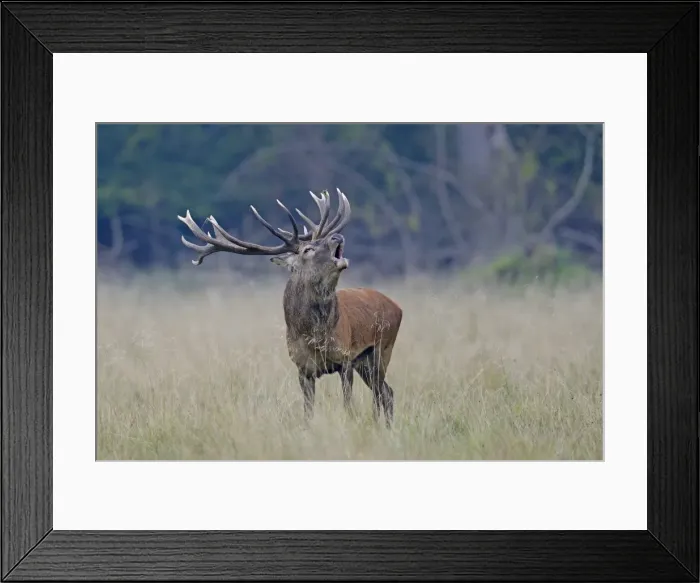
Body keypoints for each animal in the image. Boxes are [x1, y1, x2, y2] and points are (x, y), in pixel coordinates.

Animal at [177, 188, 402, 427]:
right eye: (307, 249)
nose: (337, 236)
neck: (315, 335)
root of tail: (397, 307)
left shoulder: (345, 358)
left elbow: (348, 407)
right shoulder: (302, 368)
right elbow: (308, 412)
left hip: (381, 349)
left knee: (383, 393)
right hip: (366, 362)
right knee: (385, 392)